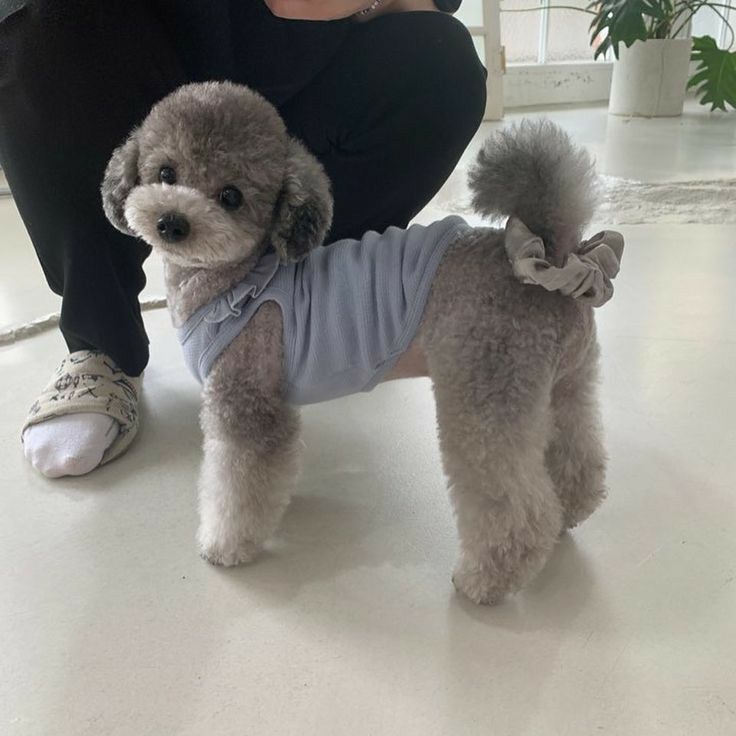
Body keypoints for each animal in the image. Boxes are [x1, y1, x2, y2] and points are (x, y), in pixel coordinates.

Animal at [100, 80, 624, 604]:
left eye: (231, 196)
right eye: (165, 173)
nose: (172, 222)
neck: (236, 277)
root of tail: (553, 253)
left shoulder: (247, 405)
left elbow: (237, 485)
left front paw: (226, 546)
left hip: (484, 399)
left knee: (518, 511)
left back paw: (485, 580)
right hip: (563, 386)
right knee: (579, 457)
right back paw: (569, 510)